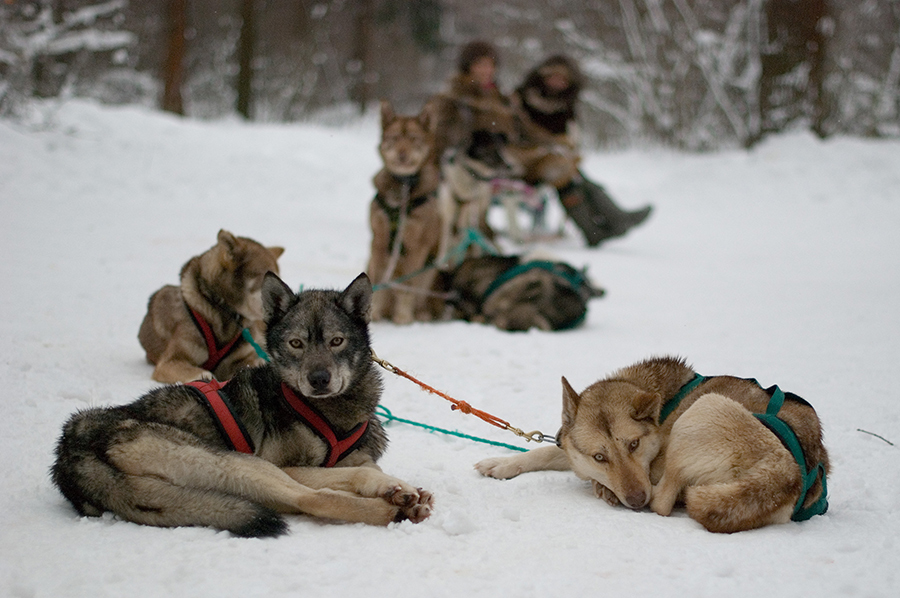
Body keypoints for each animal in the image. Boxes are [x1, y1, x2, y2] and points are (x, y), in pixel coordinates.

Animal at [54, 274, 434, 536]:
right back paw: (393, 512)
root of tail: (71, 452)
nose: (319, 379)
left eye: (336, 341)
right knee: (313, 499)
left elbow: (364, 466)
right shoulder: (286, 464)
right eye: (296, 343)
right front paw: (396, 489)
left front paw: (398, 489)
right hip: (244, 464)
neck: (327, 411)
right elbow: (362, 471)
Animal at [366, 101, 442, 326]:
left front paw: (404, 317)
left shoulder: (416, 247)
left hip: (430, 270)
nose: (402, 154)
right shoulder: (378, 242)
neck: (402, 188)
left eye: (414, 139)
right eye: (395, 138)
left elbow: (407, 288)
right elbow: (378, 282)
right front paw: (374, 314)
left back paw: (420, 314)